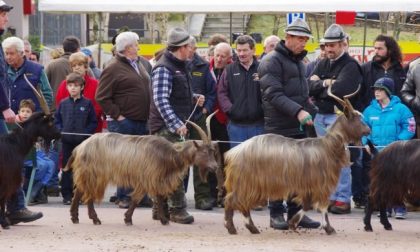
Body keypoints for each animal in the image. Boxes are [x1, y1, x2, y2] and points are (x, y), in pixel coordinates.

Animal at [0, 92, 60, 228]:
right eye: (50, 123)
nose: (59, 134)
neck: (14, 144)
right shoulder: (8, 178)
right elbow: (2, 199)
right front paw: (4, 223)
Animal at [67, 120, 218, 226]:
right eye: (204, 151)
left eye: (212, 151)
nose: (215, 167)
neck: (167, 154)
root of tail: (79, 147)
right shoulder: (146, 177)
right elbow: (136, 199)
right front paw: (128, 219)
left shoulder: (157, 179)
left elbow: (159, 198)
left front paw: (163, 220)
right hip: (93, 173)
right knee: (86, 194)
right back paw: (94, 219)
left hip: (89, 174)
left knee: (79, 192)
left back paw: (76, 217)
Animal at [223, 85, 370, 235]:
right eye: (356, 118)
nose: (368, 131)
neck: (327, 148)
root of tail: (233, 152)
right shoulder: (319, 183)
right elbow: (316, 206)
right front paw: (327, 228)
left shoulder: (310, 185)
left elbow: (309, 204)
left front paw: (295, 223)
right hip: (248, 181)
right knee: (232, 201)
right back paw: (232, 228)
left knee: (241, 203)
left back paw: (251, 228)